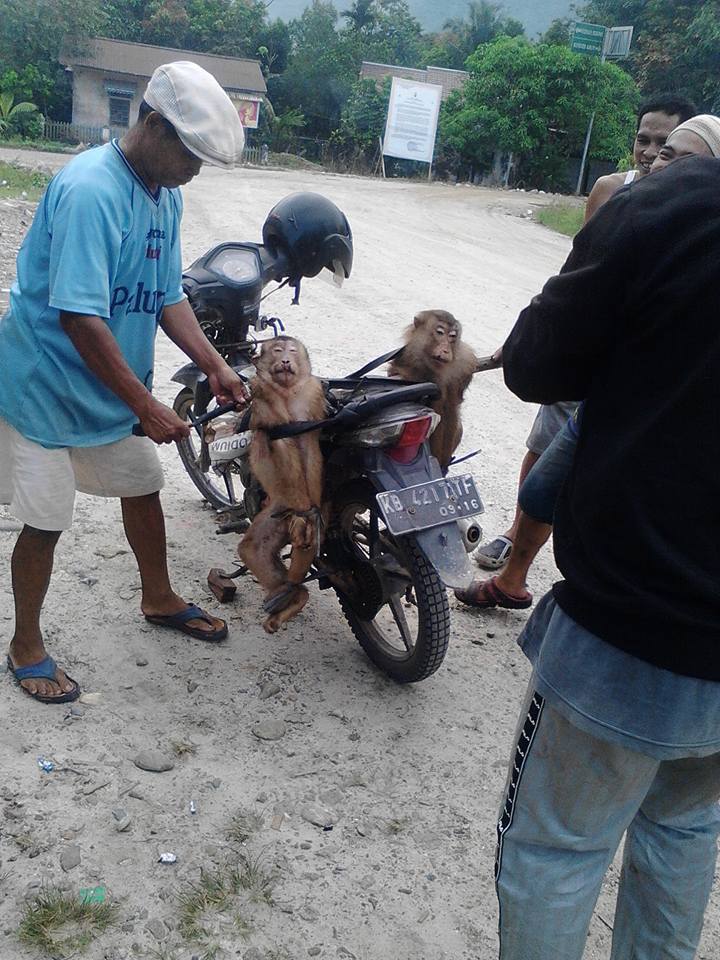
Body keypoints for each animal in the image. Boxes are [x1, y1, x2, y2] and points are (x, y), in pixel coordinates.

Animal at [238, 334, 324, 632]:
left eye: (292, 351)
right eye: (277, 350)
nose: (285, 360)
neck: (287, 390)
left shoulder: (312, 393)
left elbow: (308, 442)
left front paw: (309, 515)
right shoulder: (261, 391)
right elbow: (279, 436)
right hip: (276, 511)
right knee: (254, 549)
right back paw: (294, 595)